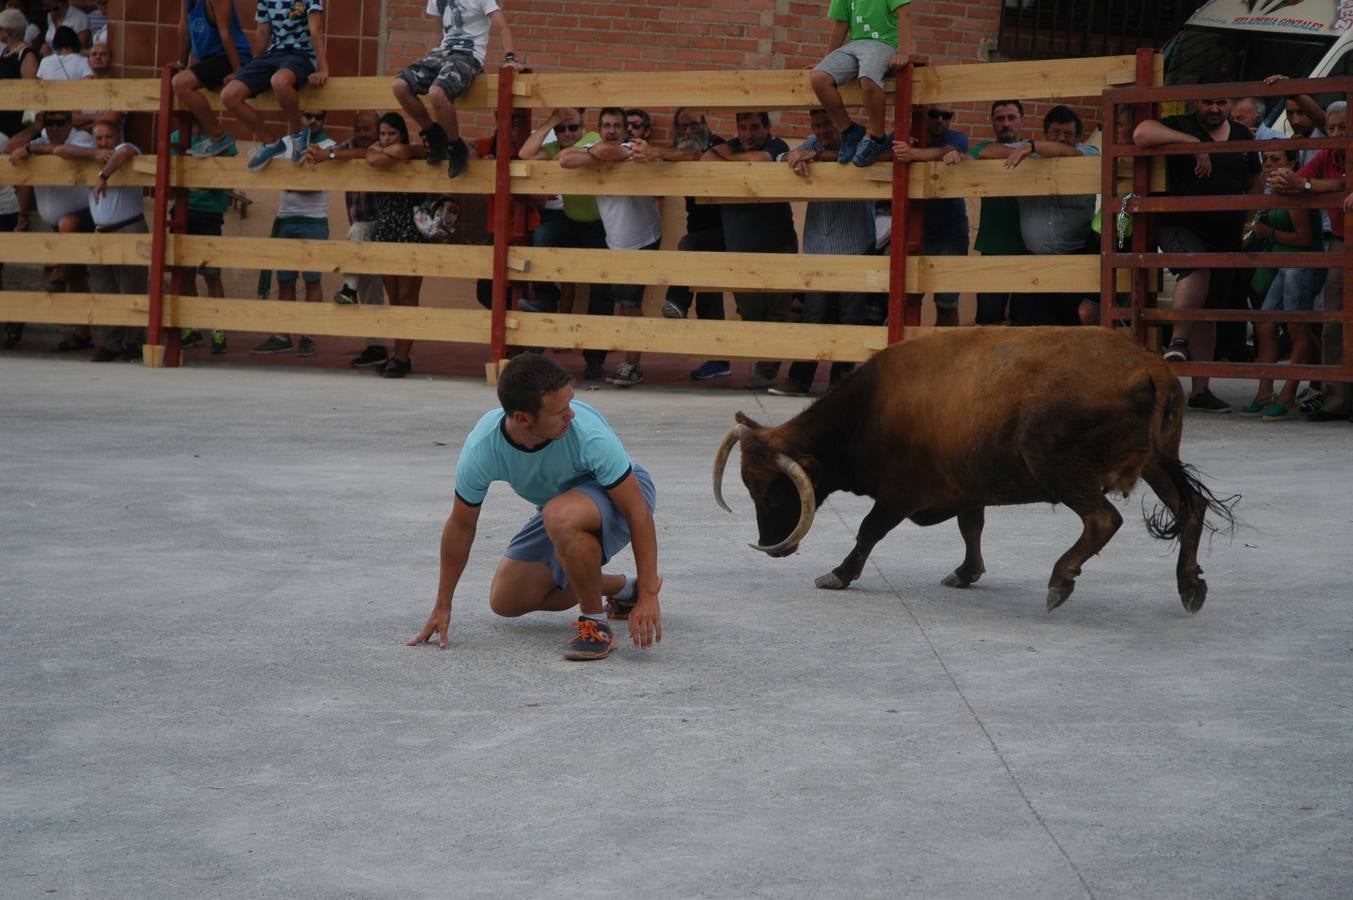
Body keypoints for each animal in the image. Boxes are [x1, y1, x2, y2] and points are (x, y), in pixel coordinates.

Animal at [719, 326, 1239, 614]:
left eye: (770, 491)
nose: (772, 545)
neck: (872, 407)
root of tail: (1149, 367)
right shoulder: (966, 489)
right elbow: (972, 526)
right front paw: (967, 572)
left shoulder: (899, 494)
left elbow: (869, 531)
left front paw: (838, 574)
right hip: (1156, 462)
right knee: (1192, 510)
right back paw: (1190, 585)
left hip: (1057, 467)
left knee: (1102, 519)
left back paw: (1060, 580)